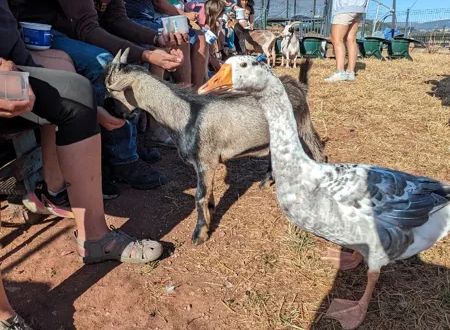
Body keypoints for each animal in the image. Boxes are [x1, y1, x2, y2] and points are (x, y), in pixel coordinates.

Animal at [103, 49, 326, 245]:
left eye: (111, 90)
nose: (107, 110)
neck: (186, 114)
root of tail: (297, 85)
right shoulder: (204, 164)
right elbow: (207, 192)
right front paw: (210, 213)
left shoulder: (205, 160)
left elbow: (199, 197)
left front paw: (199, 233)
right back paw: (266, 181)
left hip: (302, 124)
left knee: (318, 151)